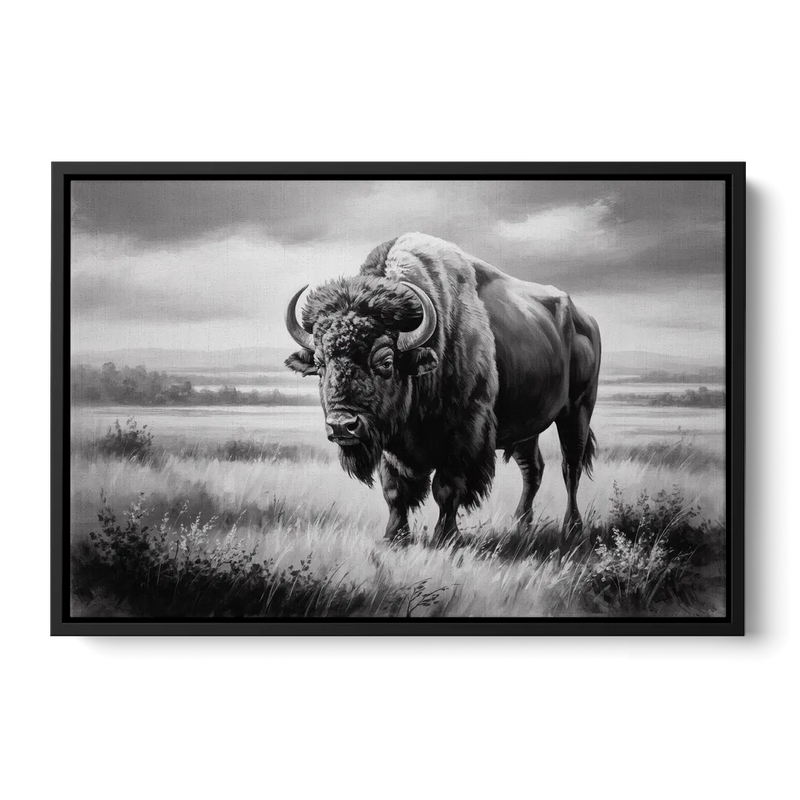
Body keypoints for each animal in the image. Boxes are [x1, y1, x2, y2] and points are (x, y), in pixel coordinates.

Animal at [285, 233, 601, 546]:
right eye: (320, 364)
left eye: (386, 361)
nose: (342, 425)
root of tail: (586, 320)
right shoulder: (391, 443)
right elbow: (394, 490)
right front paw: (394, 537)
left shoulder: (463, 434)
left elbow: (447, 489)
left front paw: (445, 538)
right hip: (528, 427)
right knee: (532, 469)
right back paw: (522, 526)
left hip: (577, 411)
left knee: (570, 467)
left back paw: (572, 528)